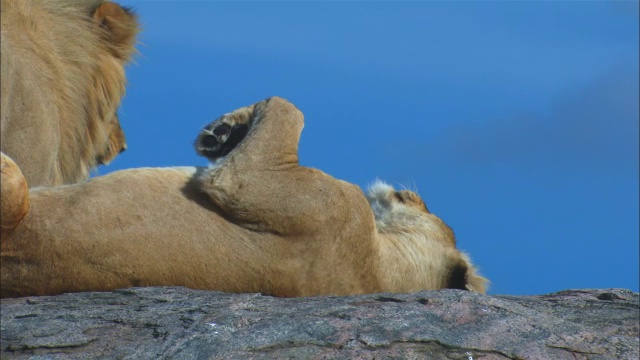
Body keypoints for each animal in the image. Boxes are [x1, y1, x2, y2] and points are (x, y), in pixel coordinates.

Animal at [1, 96, 490, 298]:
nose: (417, 194)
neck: (379, 271)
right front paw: (224, 131)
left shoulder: (261, 187)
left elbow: (290, 108)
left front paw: (220, 132)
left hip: (17, 185)